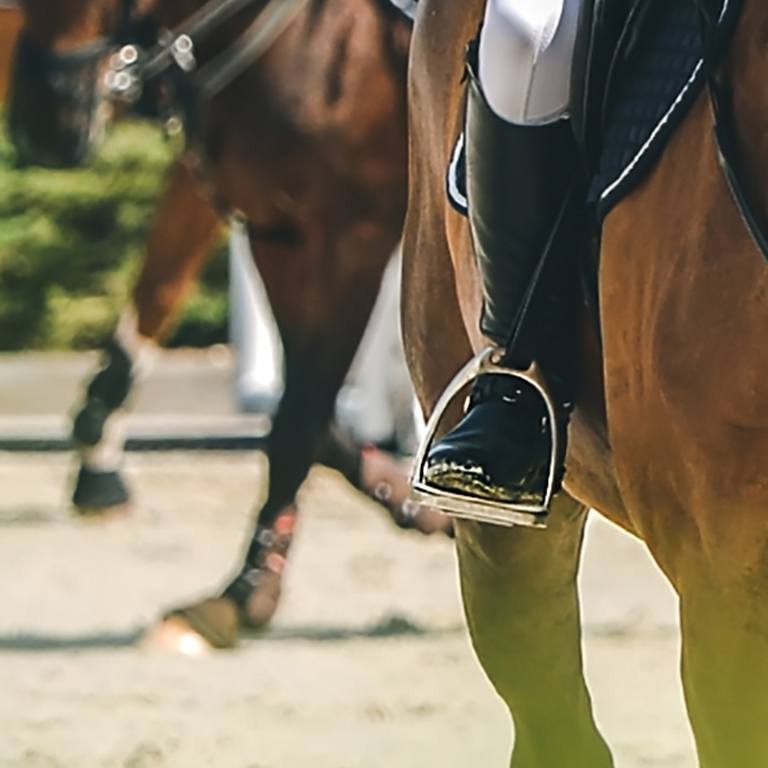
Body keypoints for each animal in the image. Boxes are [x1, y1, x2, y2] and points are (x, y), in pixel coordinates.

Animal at [7, 0, 450, 648]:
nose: (41, 124)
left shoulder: (352, 237)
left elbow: (301, 417)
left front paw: (247, 590)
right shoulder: (277, 233)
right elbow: (306, 413)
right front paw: (414, 501)